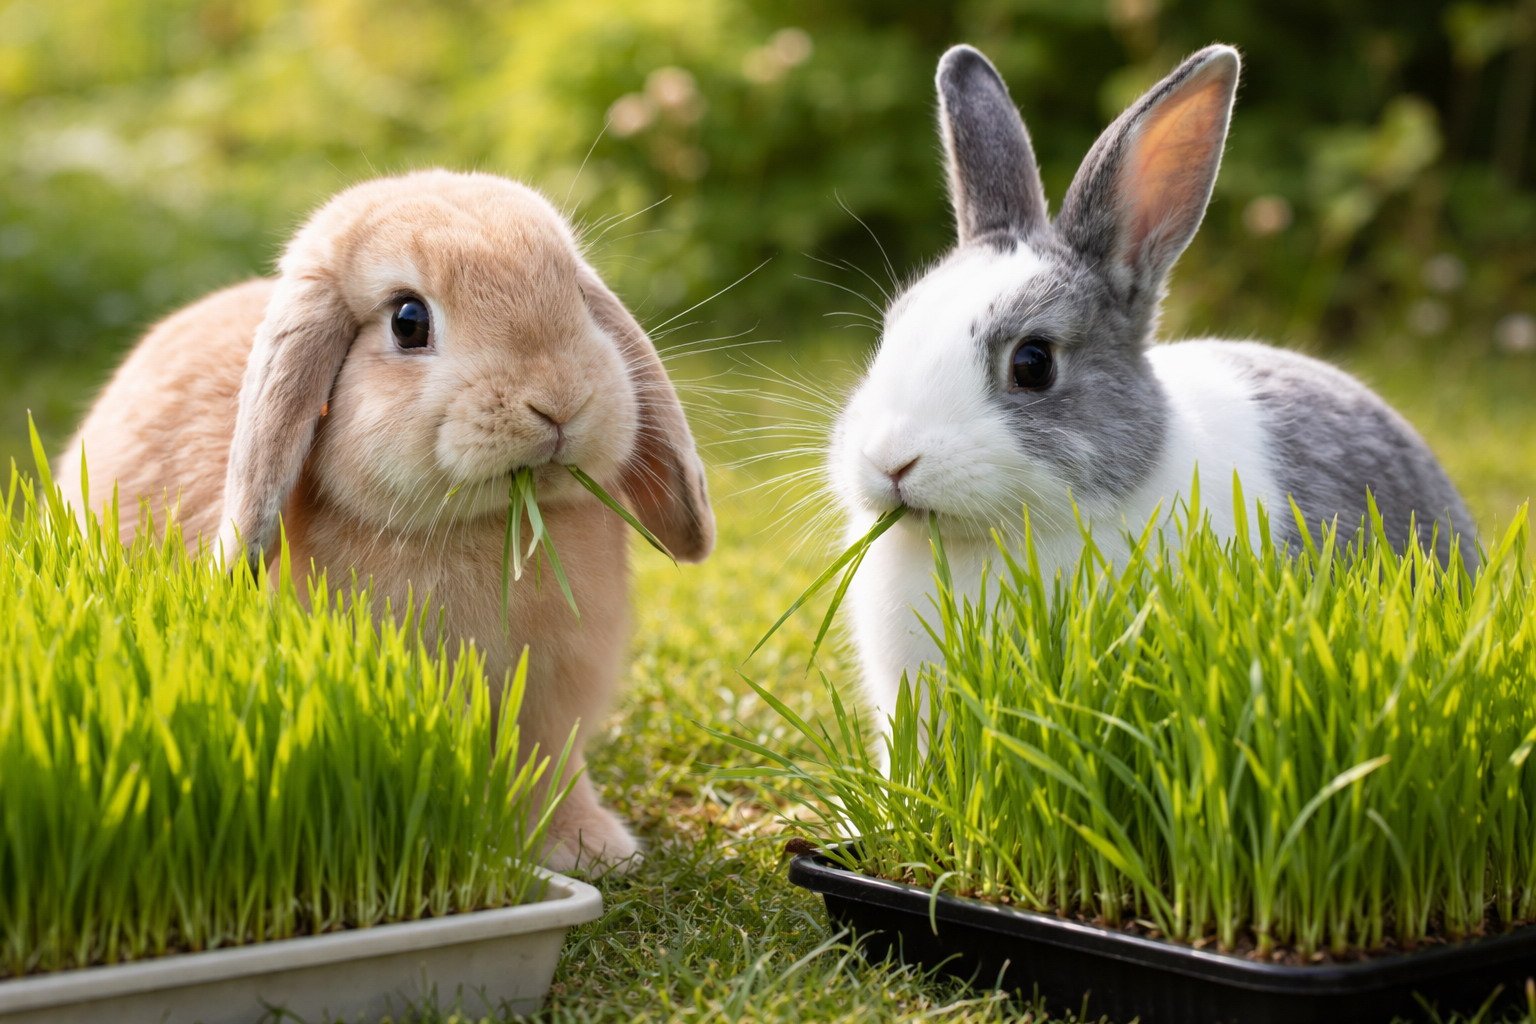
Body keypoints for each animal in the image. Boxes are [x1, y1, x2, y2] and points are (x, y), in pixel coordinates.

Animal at [57, 169, 715, 874]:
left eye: (578, 295)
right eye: (408, 321)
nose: (558, 401)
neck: (475, 528)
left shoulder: (549, 702)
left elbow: (546, 771)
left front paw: (587, 849)